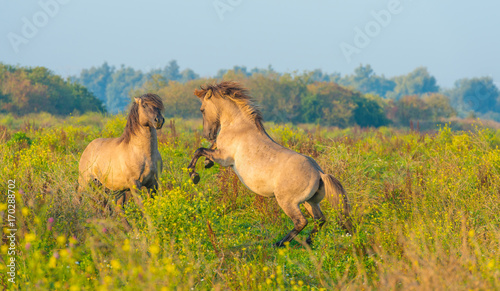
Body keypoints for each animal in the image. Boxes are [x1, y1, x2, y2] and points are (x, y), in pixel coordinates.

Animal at [77, 93, 165, 230]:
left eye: (158, 106)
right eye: (144, 105)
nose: (159, 120)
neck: (143, 153)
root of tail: (88, 147)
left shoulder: (153, 184)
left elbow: (151, 206)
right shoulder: (135, 184)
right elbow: (143, 207)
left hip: (114, 189)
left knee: (114, 209)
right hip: (85, 182)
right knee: (80, 199)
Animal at [188, 81, 352, 248]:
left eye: (202, 110)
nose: (207, 134)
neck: (238, 126)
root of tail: (319, 173)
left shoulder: (224, 158)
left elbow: (199, 150)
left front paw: (194, 175)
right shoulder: (220, 152)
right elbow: (209, 147)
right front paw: (207, 163)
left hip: (288, 202)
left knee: (301, 221)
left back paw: (280, 243)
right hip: (310, 201)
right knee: (319, 219)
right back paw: (307, 242)